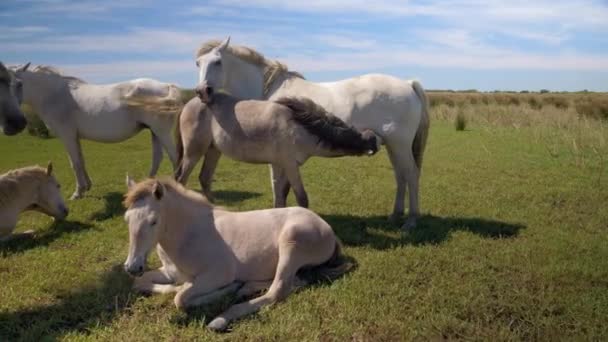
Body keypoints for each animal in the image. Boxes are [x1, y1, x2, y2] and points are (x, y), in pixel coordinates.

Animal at [11, 63, 180, 200]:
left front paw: (78, 192)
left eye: (18, 84)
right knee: (157, 158)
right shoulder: (75, 137)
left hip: (161, 132)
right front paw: (87, 186)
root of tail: (166, 86)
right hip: (154, 132)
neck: (53, 94)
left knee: (174, 157)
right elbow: (81, 160)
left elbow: (74, 163)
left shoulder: (67, 135)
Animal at [122, 176, 352, 332]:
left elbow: (180, 298)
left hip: (291, 241)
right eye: (126, 219)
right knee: (296, 281)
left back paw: (220, 318)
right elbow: (141, 283)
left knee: (279, 289)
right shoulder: (170, 272)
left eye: (153, 221)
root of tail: (328, 229)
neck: (189, 234)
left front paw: (223, 291)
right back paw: (245, 288)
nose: (132, 267)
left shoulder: (219, 274)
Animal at [197, 38, 430, 230]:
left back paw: (411, 221)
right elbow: (283, 189)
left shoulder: (277, 158)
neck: (270, 91)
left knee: (411, 175)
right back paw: (395, 215)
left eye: (217, 62)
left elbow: (277, 188)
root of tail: (408, 84)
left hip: (400, 145)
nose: (202, 92)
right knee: (400, 176)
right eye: (198, 63)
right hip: (393, 146)